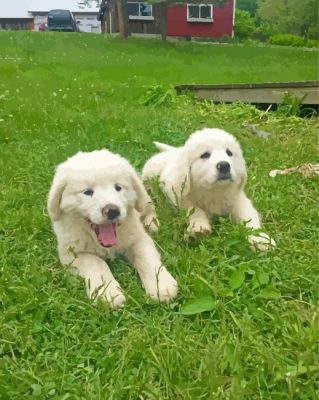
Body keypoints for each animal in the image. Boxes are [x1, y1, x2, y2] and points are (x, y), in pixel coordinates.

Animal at [47, 150, 179, 310]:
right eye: (87, 192)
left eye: (118, 187)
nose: (112, 211)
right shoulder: (71, 253)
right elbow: (96, 263)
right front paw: (108, 293)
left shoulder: (138, 237)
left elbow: (146, 257)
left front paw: (160, 285)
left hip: (145, 200)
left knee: (148, 208)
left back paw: (152, 224)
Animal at [144, 128, 276, 252]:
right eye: (205, 155)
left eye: (229, 153)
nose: (224, 166)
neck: (214, 190)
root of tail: (174, 151)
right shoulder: (183, 197)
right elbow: (196, 210)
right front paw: (199, 229)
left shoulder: (238, 199)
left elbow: (249, 217)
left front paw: (260, 239)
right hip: (149, 173)